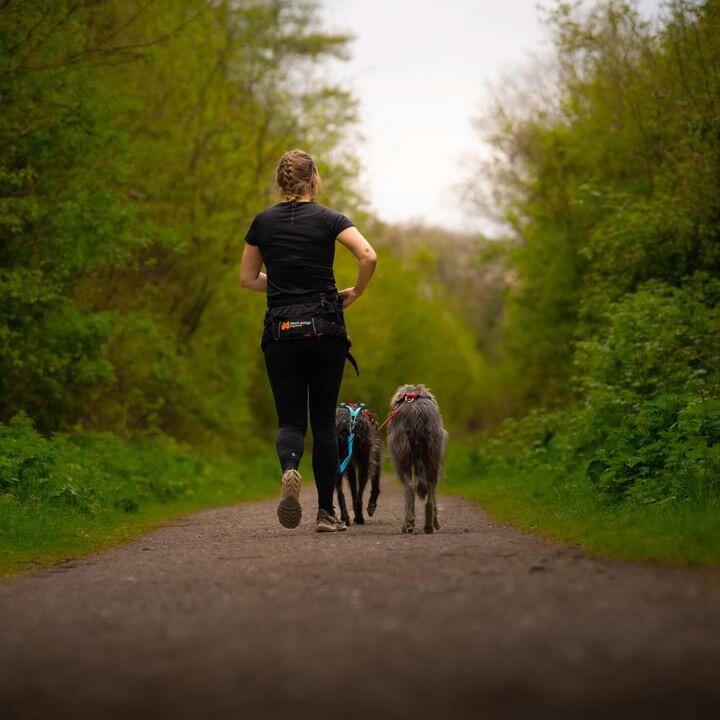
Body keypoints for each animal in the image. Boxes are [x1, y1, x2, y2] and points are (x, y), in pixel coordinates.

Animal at [386, 386, 448, 532]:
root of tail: (417, 415)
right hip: (434, 452)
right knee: (431, 490)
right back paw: (429, 526)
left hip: (401, 455)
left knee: (409, 488)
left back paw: (408, 524)